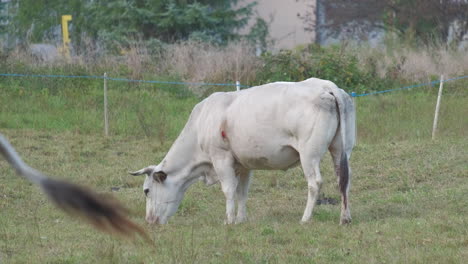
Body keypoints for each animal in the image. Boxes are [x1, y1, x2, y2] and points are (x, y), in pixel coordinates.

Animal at [130, 78, 356, 225]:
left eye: (146, 190)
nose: (149, 221)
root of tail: (327, 86)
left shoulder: (221, 158)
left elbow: (229, 190)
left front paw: (229, 220)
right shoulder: (245, 164)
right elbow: (242, 191)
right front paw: (241, 219)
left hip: (309, 154)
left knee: (315, 183)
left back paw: (305, 218)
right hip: (341, 150)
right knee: (343, 180)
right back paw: (345, 217)